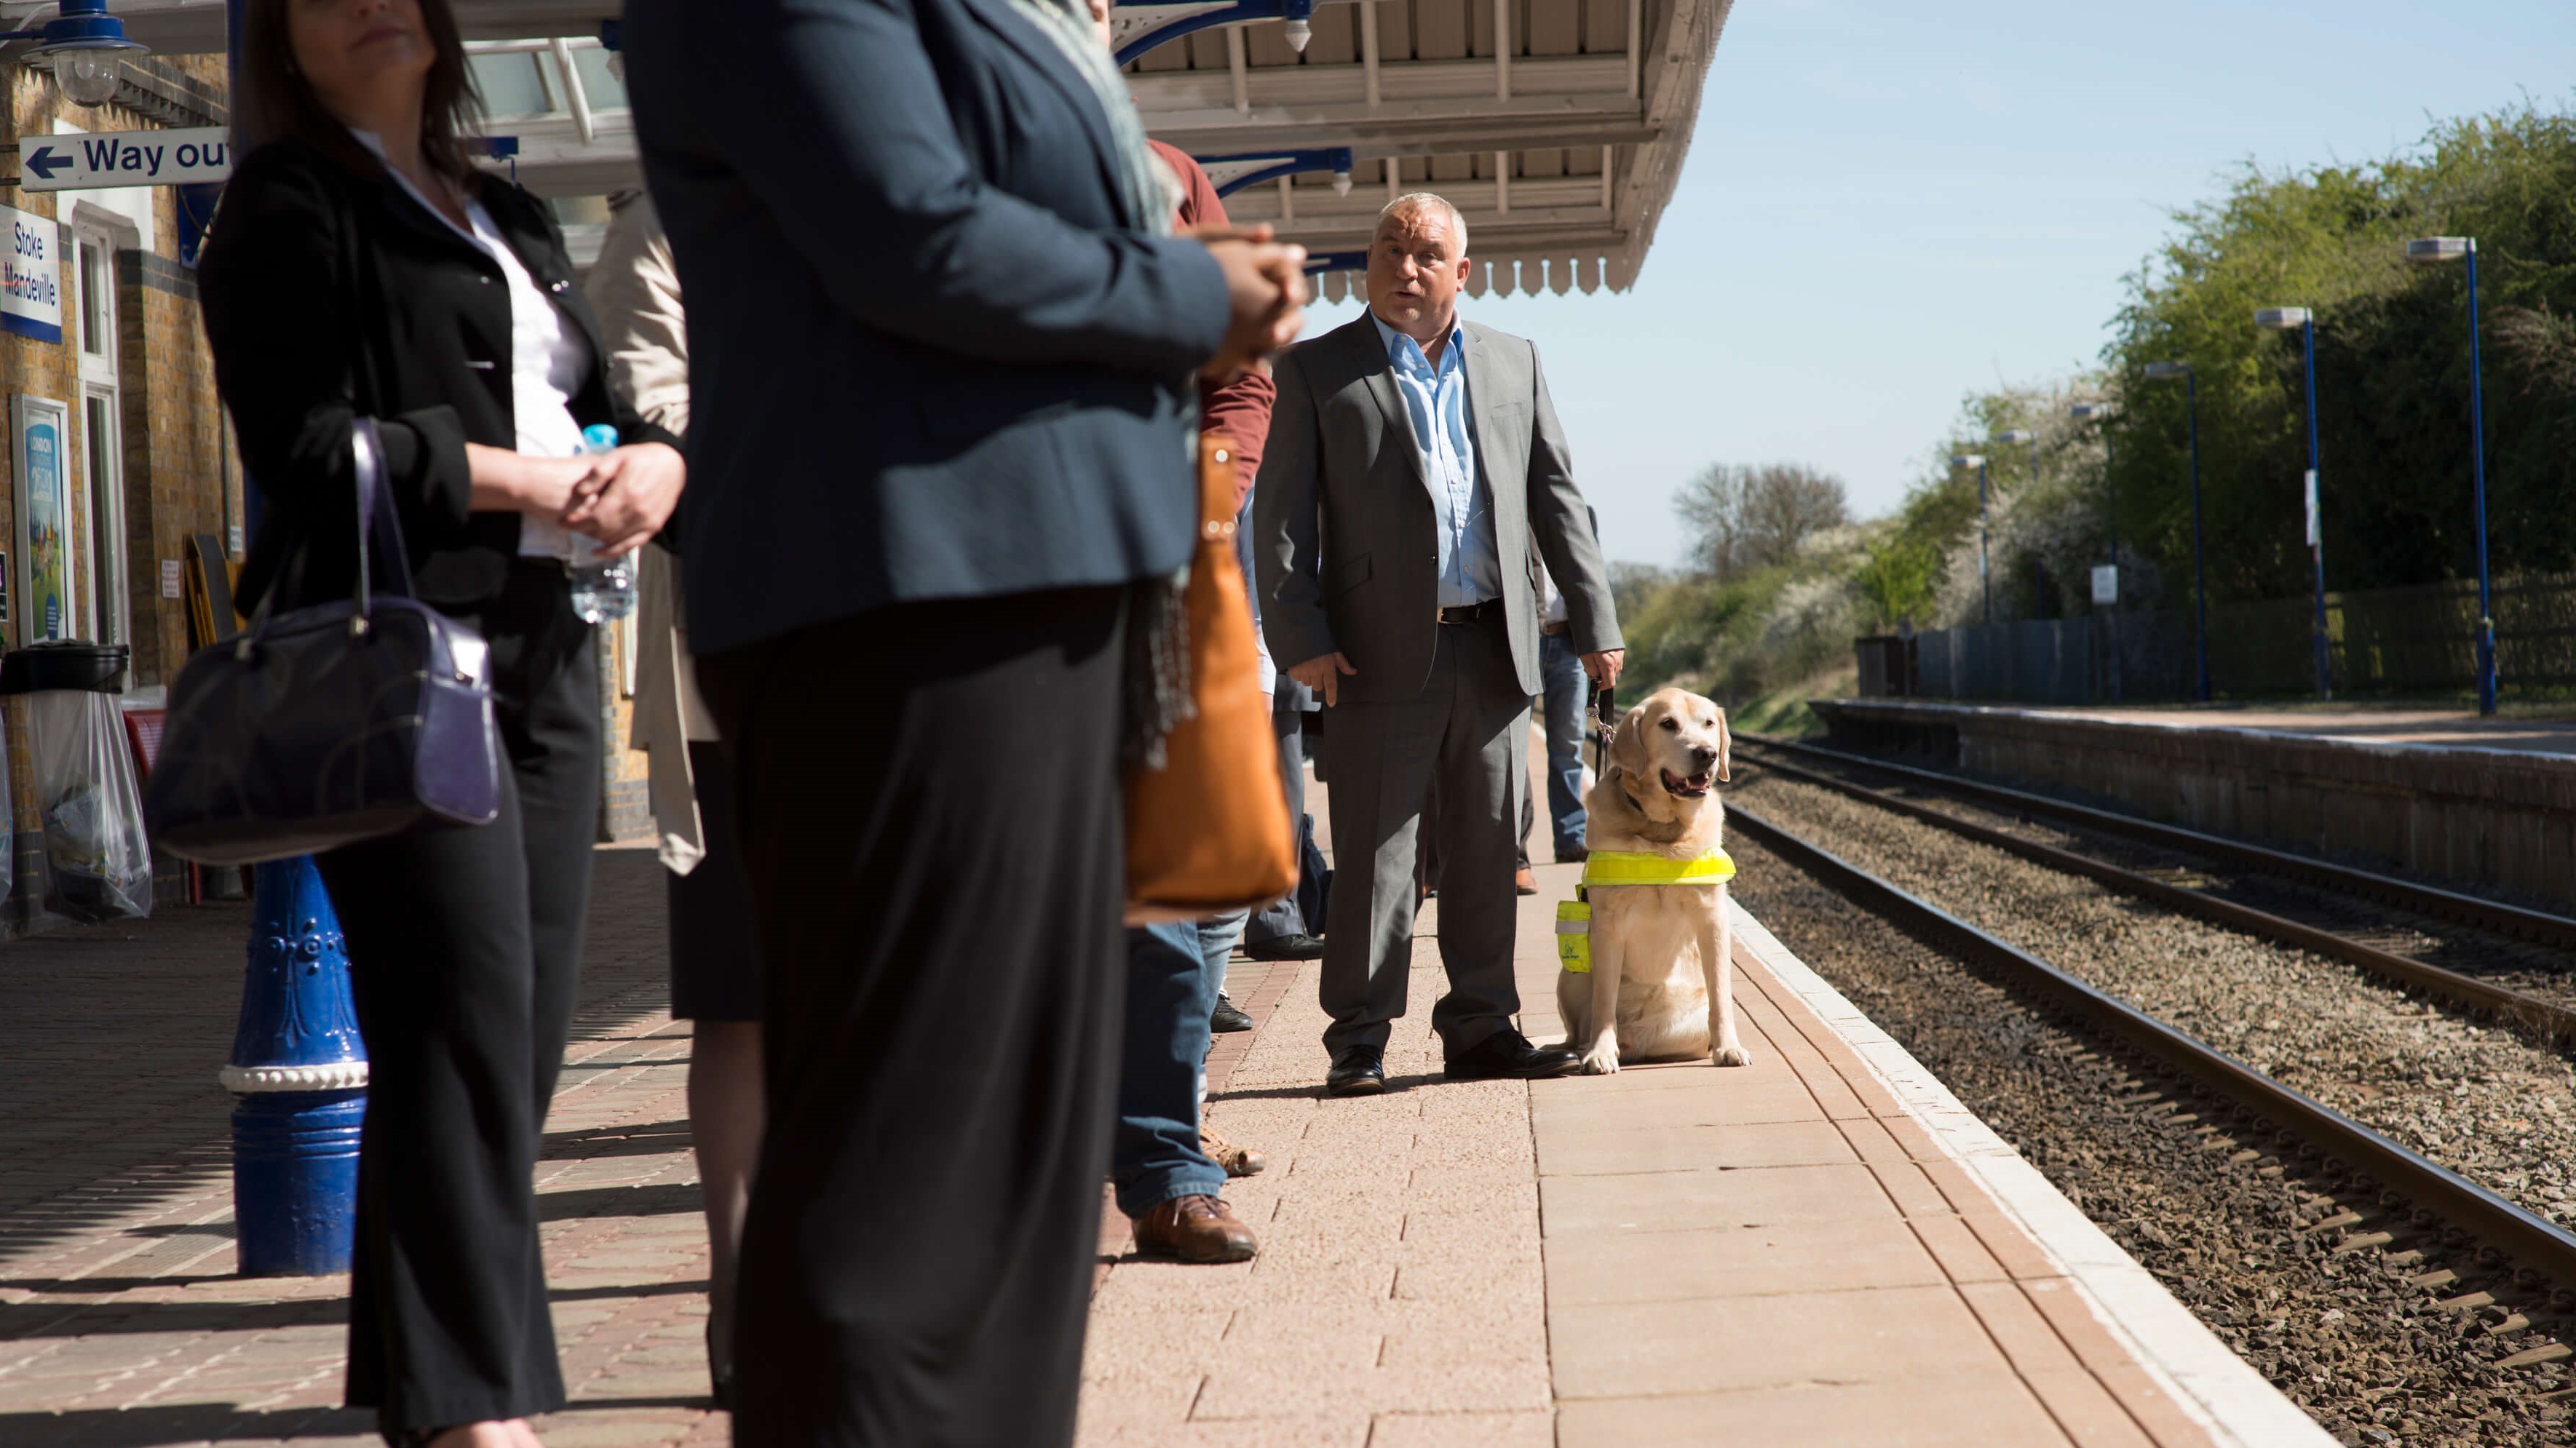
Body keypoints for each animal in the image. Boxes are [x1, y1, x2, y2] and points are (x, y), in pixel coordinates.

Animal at [1545, 685, 1751, 1072]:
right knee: (1580, 1029)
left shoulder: (1712, 918)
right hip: (1571, 975)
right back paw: (1584, 1050)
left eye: (1709, 723)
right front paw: (1600, 1051)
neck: (1662, 831)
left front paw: (1728, 1048)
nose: (1707, 753)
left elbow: (1720, 995)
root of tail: (1639, 1039)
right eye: (1668, 724)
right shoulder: (1607, 924)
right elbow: (1604, 1000)